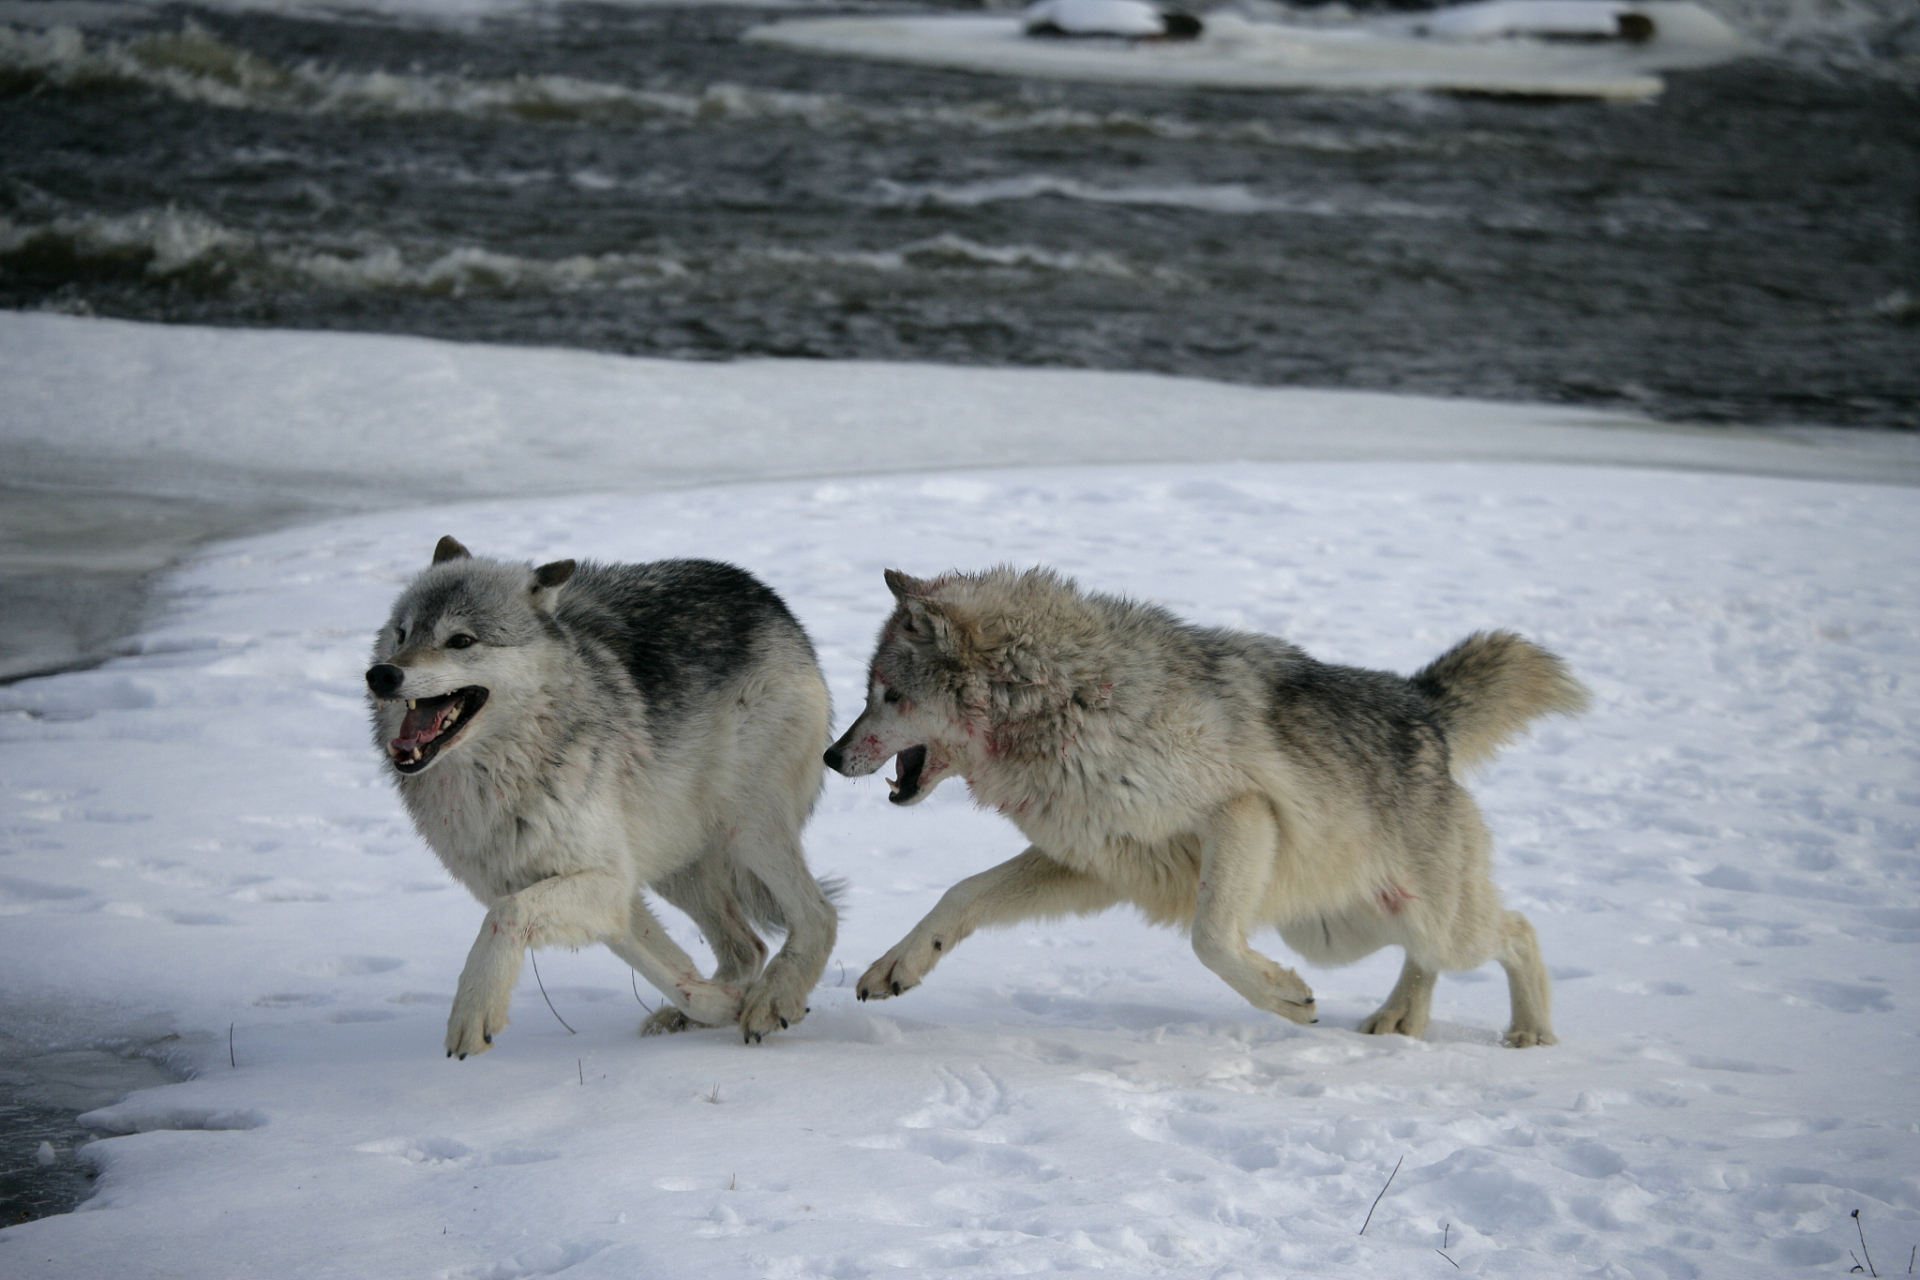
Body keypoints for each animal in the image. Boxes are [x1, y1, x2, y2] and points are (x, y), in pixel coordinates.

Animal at [366, 537, 833, 1059]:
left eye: (461, 641)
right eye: (402, 634)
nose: (381, 675)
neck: (499, 778)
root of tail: (760, 592)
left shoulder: (601, 881)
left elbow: (504, 916)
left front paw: (473, 1012)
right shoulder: (612, 897)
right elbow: (674, 977)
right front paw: (720, 1007)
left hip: (746, 829)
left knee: (818, 915)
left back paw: (773, 1000)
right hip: (675, 862)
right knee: (747, 946)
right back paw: (708, 1011)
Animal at [825, 571, 1589, 1051]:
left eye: (886, 694)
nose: (831, 756)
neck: (1067, 701)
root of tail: (1422, 704)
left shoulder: (1240, 812)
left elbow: (1211, 938)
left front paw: (1284, 997)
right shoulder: (1092, 863)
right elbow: (962, 893)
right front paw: (896, 966)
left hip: (1419, 922)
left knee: (1518, 931)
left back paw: (1530, 1033)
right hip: (1340, 929)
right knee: (1426, 956)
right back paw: (1401, 1019)